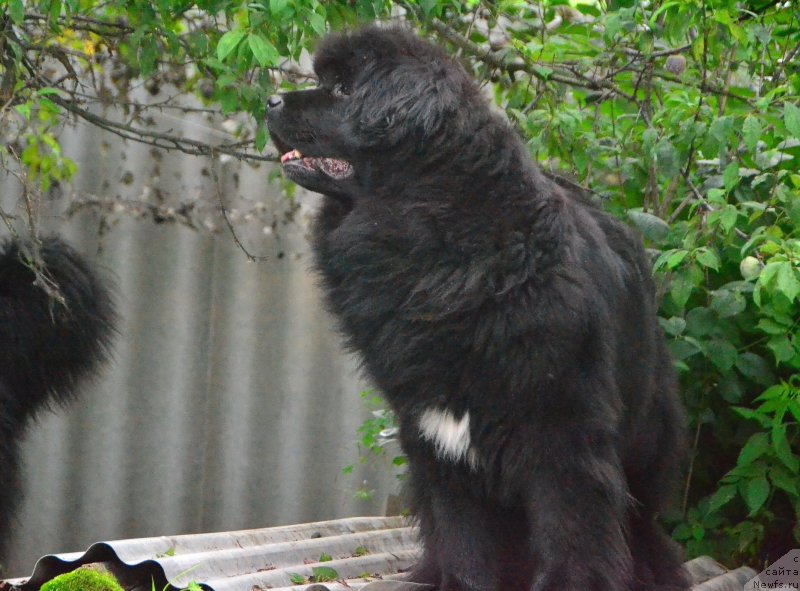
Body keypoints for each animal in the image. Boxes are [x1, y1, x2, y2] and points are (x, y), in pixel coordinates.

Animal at [268, 25, 688, 591]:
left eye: (342, 89)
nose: (269, 100)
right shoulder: (432, 429)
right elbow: (463, 537)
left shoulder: (563, 427)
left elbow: (572, 527)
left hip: (647, 432)